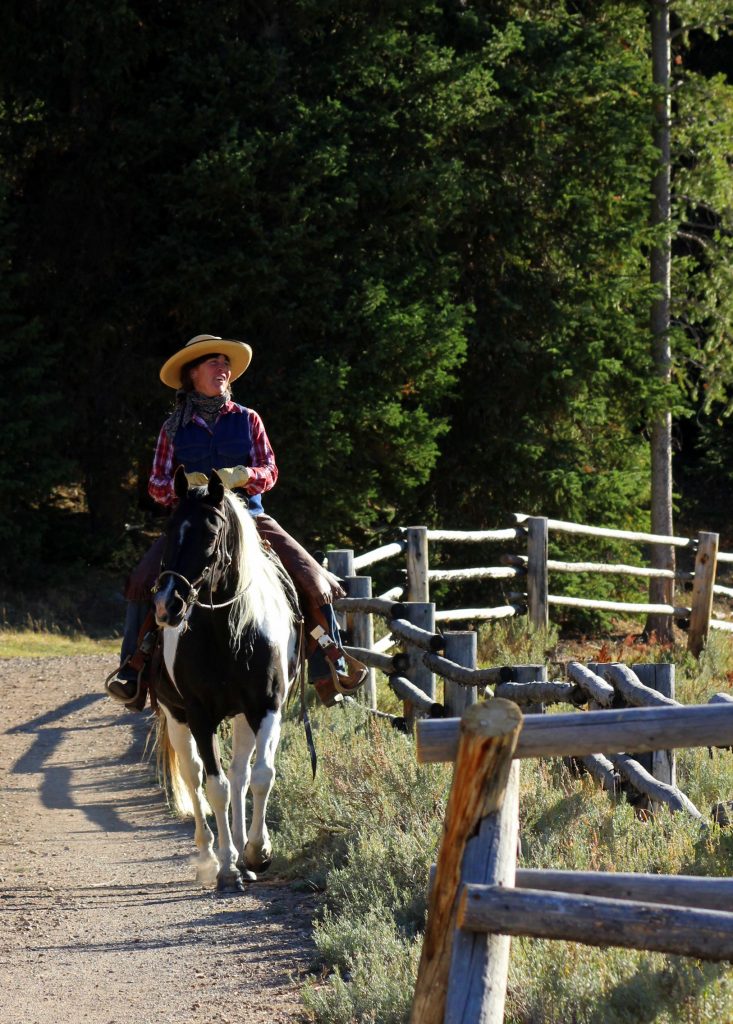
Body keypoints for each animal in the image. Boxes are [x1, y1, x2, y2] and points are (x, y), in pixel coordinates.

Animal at [151, 468, 296, 892]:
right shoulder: (200, 716)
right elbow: (214, 787)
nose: (167, 605)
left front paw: (257, 852)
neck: (227, 633)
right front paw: (227, 867)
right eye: (169, 529)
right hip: (175, 716)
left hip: (242, 716)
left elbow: (260, 776)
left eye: (212, 534)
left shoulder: (266, 707)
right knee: (194, 775)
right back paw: (208, 855)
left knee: (239, 775)